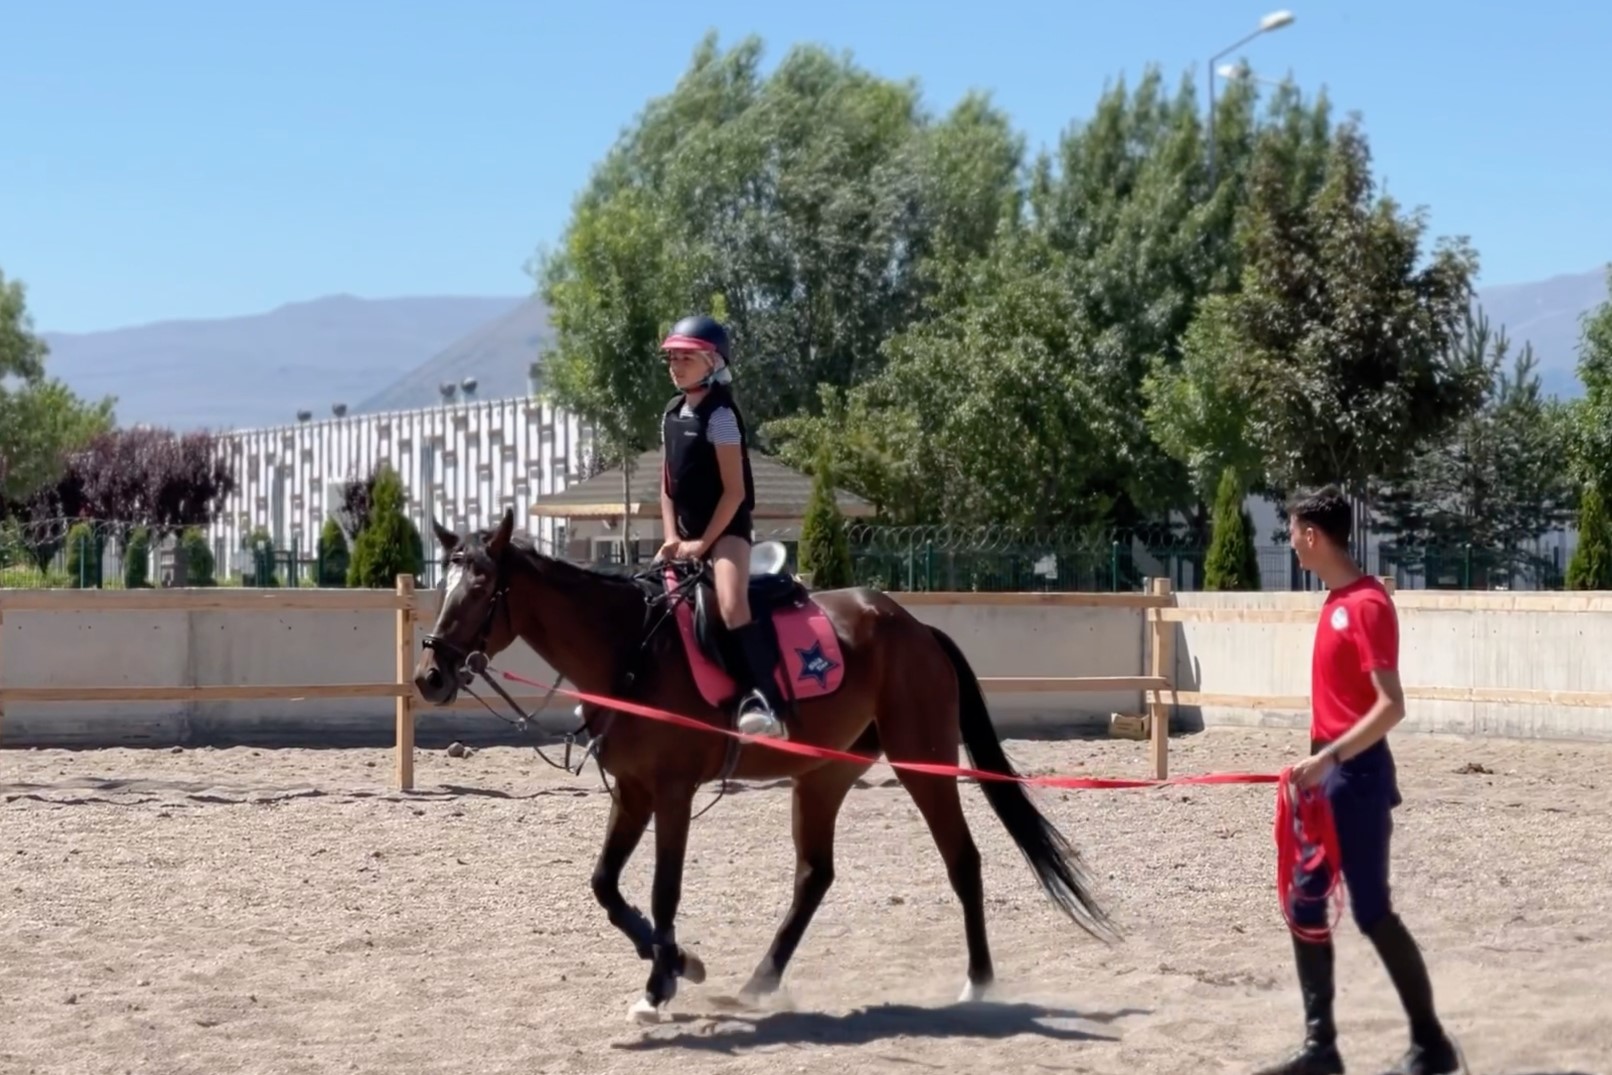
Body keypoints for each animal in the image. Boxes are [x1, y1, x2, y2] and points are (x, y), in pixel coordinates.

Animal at [409, 509, 1115, 1025]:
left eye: (480, 590)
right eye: (443, 586)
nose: (429, 676)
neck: (630, 648)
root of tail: (914, 626)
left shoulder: (670, 791)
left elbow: (663, 890)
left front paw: (662, 983)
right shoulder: (632, 791)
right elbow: (605, 886)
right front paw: (679, 965)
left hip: (923, 763)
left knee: (962, 860)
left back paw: (978, 985)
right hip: (823, 775)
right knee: (814, 876)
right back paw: (760, 980)